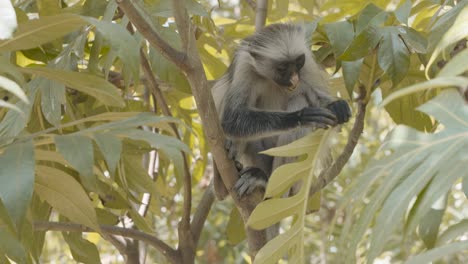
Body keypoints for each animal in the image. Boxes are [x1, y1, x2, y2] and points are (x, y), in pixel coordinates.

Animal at [212, 23, 352, 200]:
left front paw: (336, 106)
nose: (294, 79)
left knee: (300, 98)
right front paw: (300, 117)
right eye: (282, 68)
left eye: (298, 63)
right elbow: (232, 119)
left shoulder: (307, 62)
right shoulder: (244, 65)